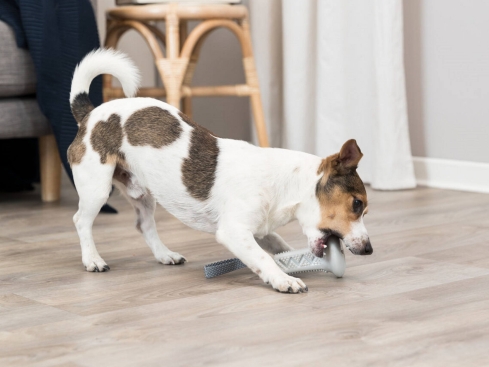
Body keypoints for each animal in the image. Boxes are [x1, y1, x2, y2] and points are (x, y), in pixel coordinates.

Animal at [67, 49, 370, 294]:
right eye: (357, 204)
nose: (369, 249)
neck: (284, 183)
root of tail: (89, 115)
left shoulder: (261, 230)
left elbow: (280, 245)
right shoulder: (234, 232)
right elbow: (263, 258)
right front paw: (284, 279)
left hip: (142, 195)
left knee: (145, 225)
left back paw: (165, 255)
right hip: (97, 189)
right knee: (81, 221)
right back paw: (92, 259)